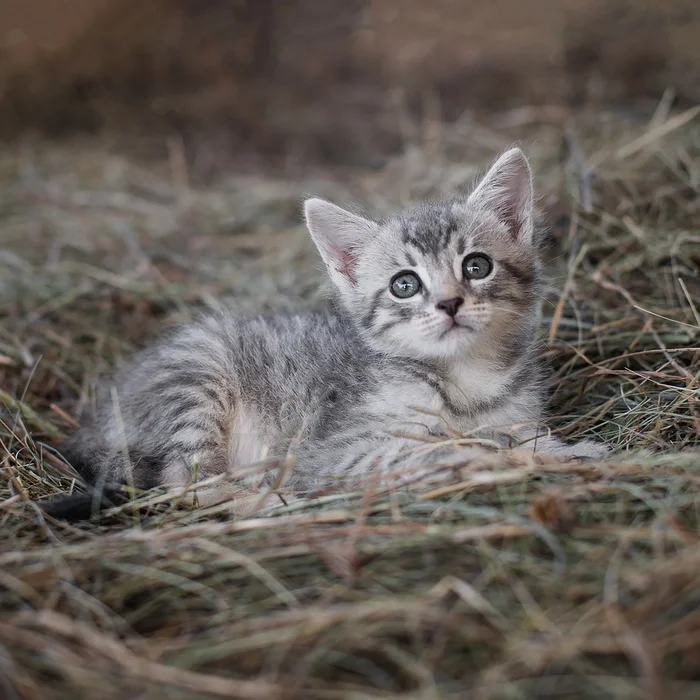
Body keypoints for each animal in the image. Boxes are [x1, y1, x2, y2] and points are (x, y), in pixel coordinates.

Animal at [41, 149, 608, 520]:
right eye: (405, 284)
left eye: (476, 265)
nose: (449, 303)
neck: (463, 380)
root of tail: (93, 418)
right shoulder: (335, 450)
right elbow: (444, 448)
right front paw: (493, 456)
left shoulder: (515, 413)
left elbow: (513, 434)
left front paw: (562, 451)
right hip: (196, 376)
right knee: (186, 484)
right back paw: (272, 501)